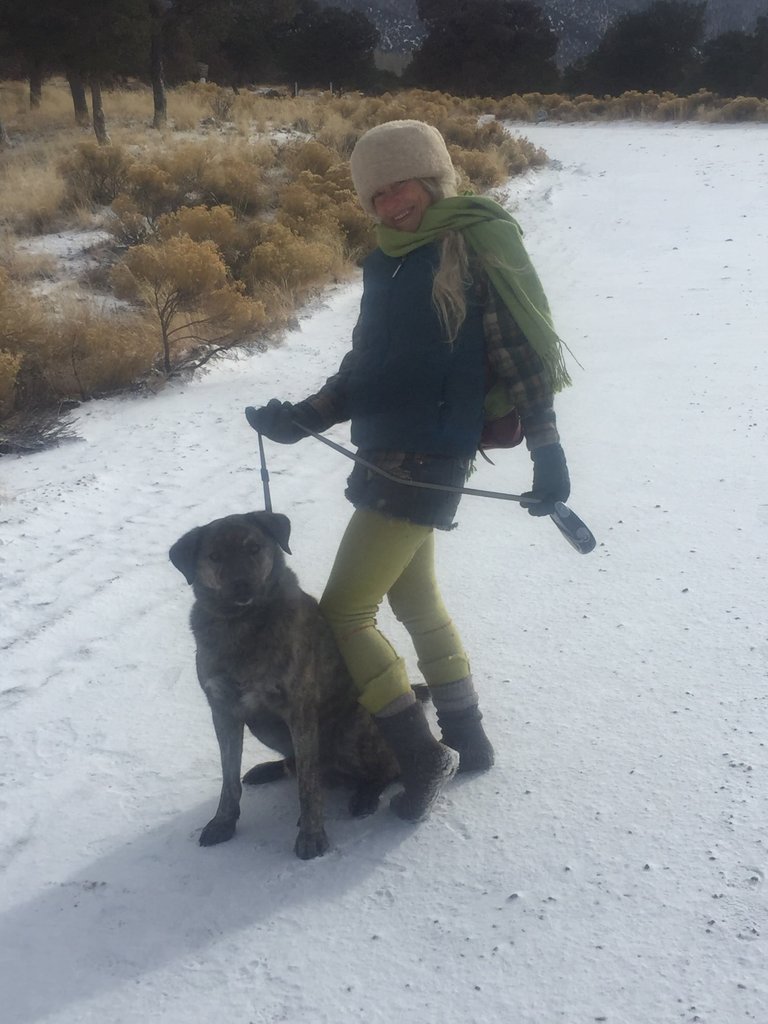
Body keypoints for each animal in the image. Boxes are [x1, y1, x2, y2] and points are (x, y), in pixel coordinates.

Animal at [167, 509, 397, 856]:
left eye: (253, 548)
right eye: (214, 556)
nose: (241, 585)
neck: (242, 624)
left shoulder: (299, 710)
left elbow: (307, 785)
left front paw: (312, 835)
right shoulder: (223, 711)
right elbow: (228, 778)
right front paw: (223, 822)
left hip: (350, 728)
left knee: (385, 768)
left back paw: (366, 795)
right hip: (264, 726)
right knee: (296, 764)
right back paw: (269, 769)